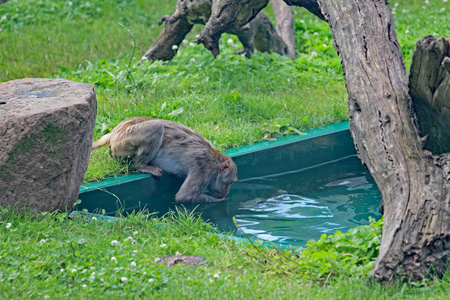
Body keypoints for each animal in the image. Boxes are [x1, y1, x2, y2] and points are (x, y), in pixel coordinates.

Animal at [92, 117, 239, 204]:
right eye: (230, 182)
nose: (227, 191)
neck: (215, 160)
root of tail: (114, 132)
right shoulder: (205, 169)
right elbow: (183, 196)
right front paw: (221, 200)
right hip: (124, 141)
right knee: (156, 126)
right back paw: (141, 165)